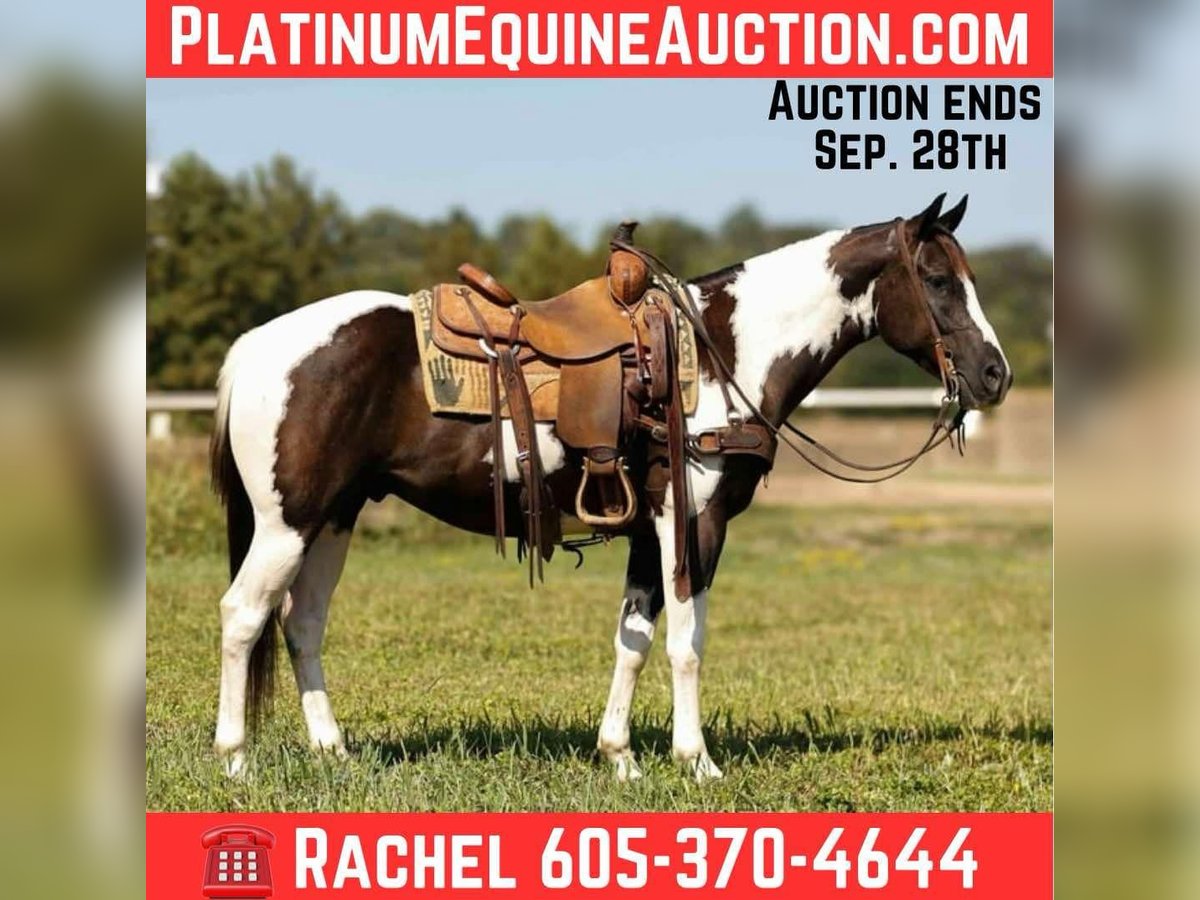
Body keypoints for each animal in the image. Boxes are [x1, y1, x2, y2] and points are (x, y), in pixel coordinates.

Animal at [209, 193, 1011, 780]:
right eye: (938, 281)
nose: (994, 374)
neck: (719, 354)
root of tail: (257, 346)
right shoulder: (694, 524)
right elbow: (687, 641)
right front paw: (698, 762)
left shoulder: (647, 531)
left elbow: (634, 638)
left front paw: (620, 757)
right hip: (287, 523)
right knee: (244, 616)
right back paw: (236, 759)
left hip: (333, 518)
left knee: (303, 623)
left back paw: (334, 753)